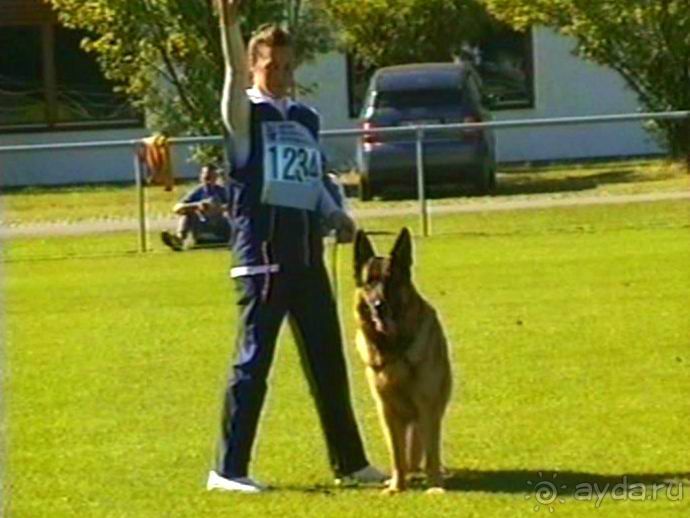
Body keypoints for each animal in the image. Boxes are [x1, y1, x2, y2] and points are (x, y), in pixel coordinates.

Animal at [354, 229, 452, 496]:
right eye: (370, 282)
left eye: (391, 281)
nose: (379, 307)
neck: (395, 350)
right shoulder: (387, 411)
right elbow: (397, 454)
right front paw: (397, 487)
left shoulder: (427, 407)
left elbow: (431, 454)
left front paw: (435, 486)